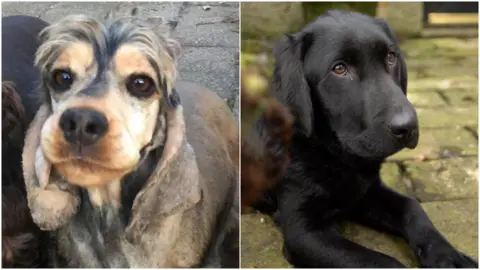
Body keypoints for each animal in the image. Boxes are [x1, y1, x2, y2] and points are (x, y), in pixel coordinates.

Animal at [253, 10, 478, 268]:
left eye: (391, 57)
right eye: (339, 69)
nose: (408, 126)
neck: (337, 155)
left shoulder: (367, 193)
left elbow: (412, 207)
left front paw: (448, 256)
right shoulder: (302, 230)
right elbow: (378, 261)